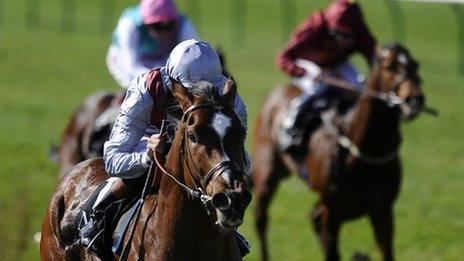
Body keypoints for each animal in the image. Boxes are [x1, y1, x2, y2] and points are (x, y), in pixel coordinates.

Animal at [254, 43, 424, 258]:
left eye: (415, 65)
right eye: (390, 66)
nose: (415, 99)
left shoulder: (383, 210)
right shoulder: (331, 212)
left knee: (313, 217)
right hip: (267, 174)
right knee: (261, 217)